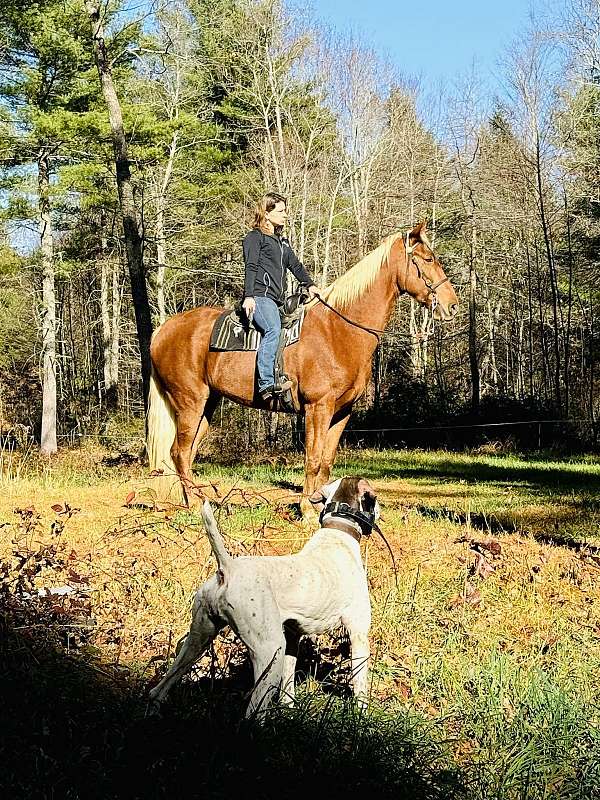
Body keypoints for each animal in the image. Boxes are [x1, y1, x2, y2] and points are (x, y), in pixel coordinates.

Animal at [146, 222, 460, 516]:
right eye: (428, 259)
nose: (452, 305)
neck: (338, 330)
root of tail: (163, 330)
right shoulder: (317, 407)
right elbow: (313, 458)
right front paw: (307, 509)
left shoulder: (341, 412)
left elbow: (327, 462)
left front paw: (322, 507)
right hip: (190, 401)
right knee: (179, 451)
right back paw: (194, 504)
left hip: (207, 404)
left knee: (186, 453)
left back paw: (197, 501)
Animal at [149, 476, 380, 720]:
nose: (381, 510)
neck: (337, 533)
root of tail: (227, 569)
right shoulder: (358, 634)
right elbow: (360, 686)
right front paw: (362, 716)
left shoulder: (292, 638)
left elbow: (288, 683)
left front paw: (289, 710)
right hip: (269, 651)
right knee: (252, 714)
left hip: (197, 640)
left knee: (158, 690)